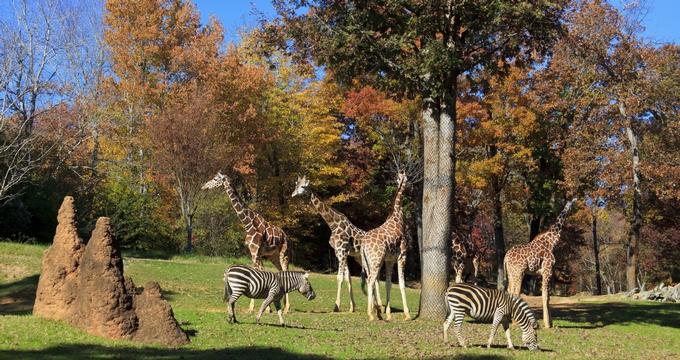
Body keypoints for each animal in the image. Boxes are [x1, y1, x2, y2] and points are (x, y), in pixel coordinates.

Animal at [199, 173, 290, 314]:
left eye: (215, 179)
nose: (204, 186)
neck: (248, 224)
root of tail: (284, 235)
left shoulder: (255, 251)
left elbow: (258, 273)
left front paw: (261, 308)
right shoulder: (254, 252)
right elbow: (257, 272)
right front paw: (258, 307)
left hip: (283, 253)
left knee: (285, 268)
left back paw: (287, 308)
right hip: (272, 256)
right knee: (280, 271)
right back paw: (281, 304)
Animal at [290, 176, 382, 312]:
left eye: (303, 186)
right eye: (296, 184)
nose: (293, 194)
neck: (333, 225)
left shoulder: (342, 250)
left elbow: (339, 277)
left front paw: (336, 306)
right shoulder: (339, 252)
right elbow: (348, 278)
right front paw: (352, 307)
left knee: (375, 276)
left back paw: (379, 305)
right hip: (360, 258)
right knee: (372, 276)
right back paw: (375, 305)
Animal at [362, 171, 410, 320]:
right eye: (405, 178)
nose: (406, 183)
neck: (398, 218)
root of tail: (363, 245)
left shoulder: (389, 260)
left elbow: (388, 284)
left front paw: (388, 313)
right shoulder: (402, 256)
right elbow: (401, 284)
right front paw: (407, 314)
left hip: (367, 262)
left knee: (370, 280)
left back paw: (376, 311)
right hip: (376, 261)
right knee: (371, 280)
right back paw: (371, 314)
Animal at [502, 198, 576, 328]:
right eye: (571, 203)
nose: (573, 205)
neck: (551, 242)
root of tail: (506, 257)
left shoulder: (545, 272)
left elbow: (548, 297)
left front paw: (550, 323)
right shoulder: (547, 270)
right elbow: (545, 296)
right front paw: (547, 324)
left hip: (511, 273)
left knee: (510, 291)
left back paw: (510, 320)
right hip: (519, 272)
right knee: (515, 293)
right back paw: (516, 322)